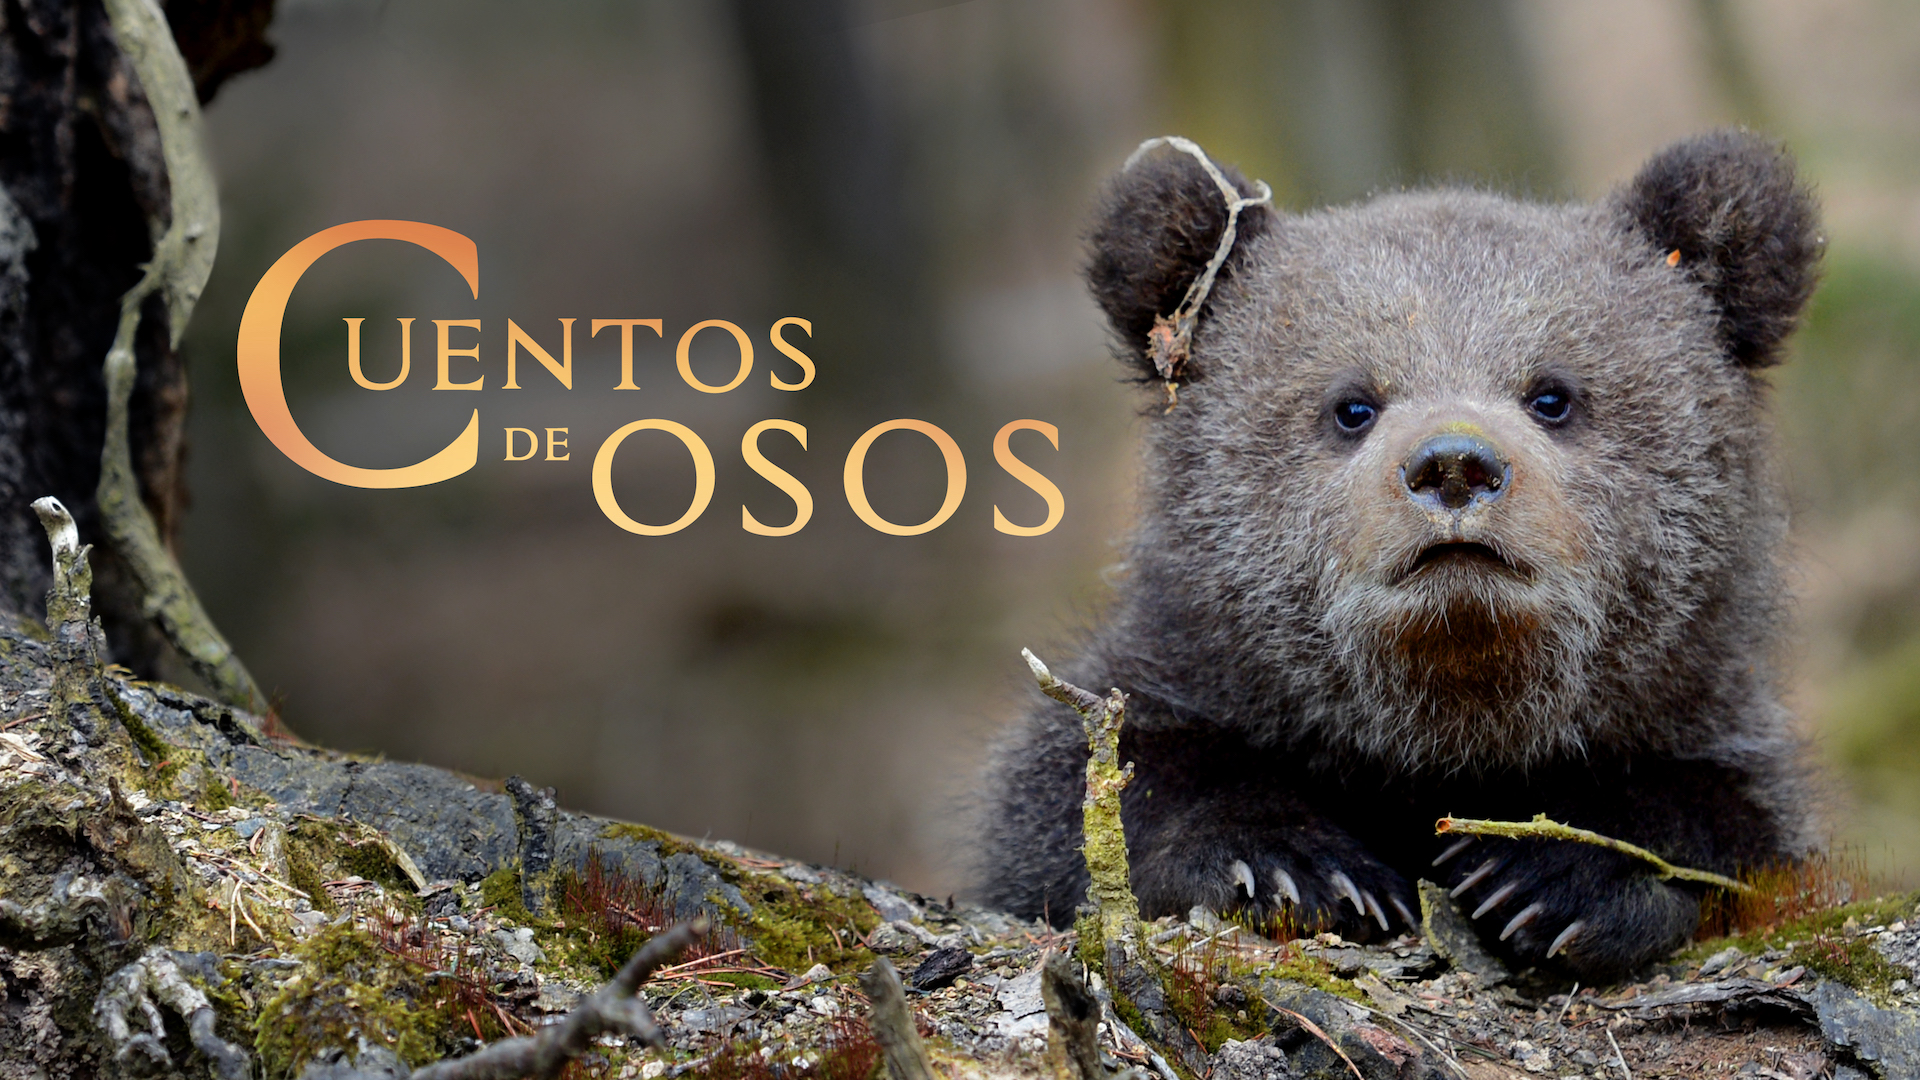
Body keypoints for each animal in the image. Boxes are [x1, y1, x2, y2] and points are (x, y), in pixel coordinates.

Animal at [975, 129, 1825, 981]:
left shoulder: (1696, 710)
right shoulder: (1195, 674)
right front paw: (1296, 866)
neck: (1435, 731)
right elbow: (1102, 781)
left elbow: (1720, 811)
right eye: (1353, 405)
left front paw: (1551, 874)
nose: (1454, 465)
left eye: (1553, 395)